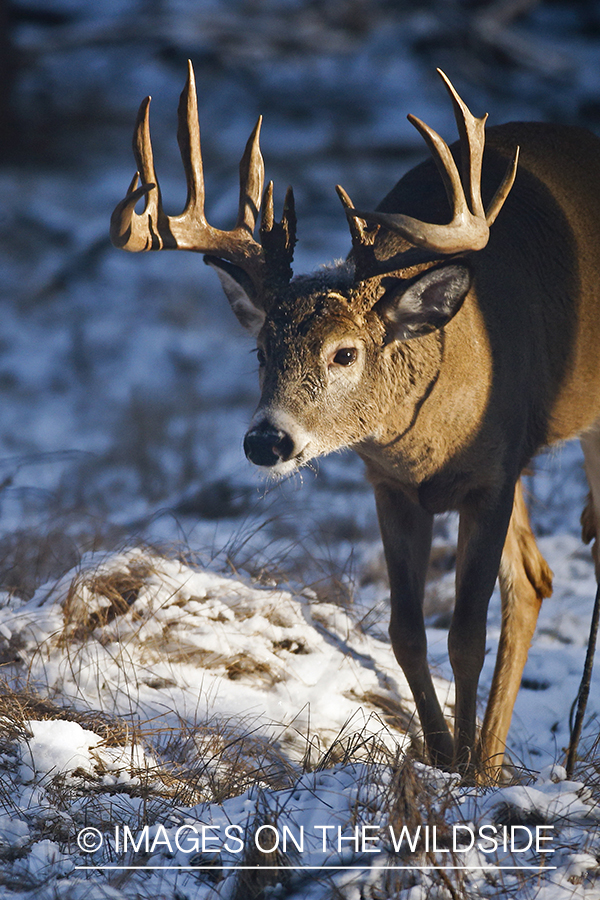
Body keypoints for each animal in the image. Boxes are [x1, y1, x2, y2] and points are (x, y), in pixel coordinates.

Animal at [110, 63, 600, 780]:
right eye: (262, 350)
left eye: (345, 352)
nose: (266, 439)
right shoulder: (392, 486)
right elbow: (405, 633)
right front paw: (446, 759)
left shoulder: (492, 475)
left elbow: (466, 634)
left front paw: (460, 773)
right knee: (535, 579)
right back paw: (492, 758)